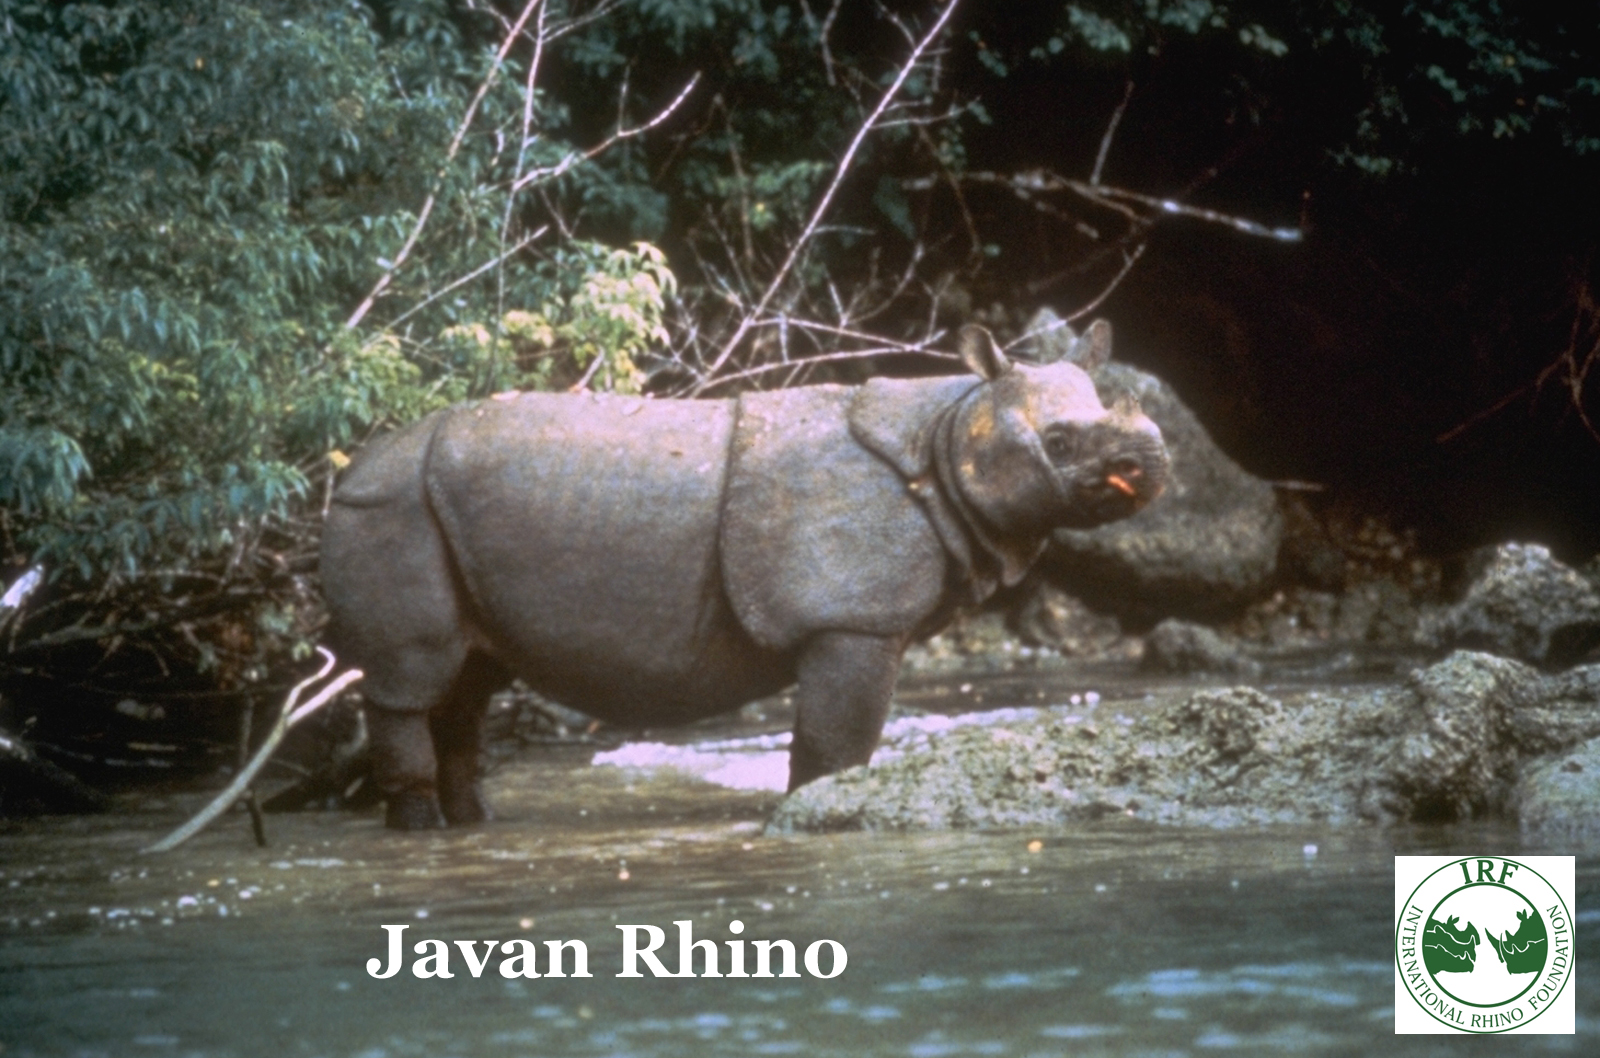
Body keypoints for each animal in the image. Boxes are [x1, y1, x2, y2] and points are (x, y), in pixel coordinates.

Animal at [321, 321, 1164, 825]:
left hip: (430, 510)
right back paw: (420, 827)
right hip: (389, 508)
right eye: (1059, 443)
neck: (955, 426)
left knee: (468, 684)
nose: (1151, 463)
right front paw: (814, 814)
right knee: (412, 681)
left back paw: (471, 826)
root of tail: (348, 468)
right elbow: (835, 745)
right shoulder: (851, 620)